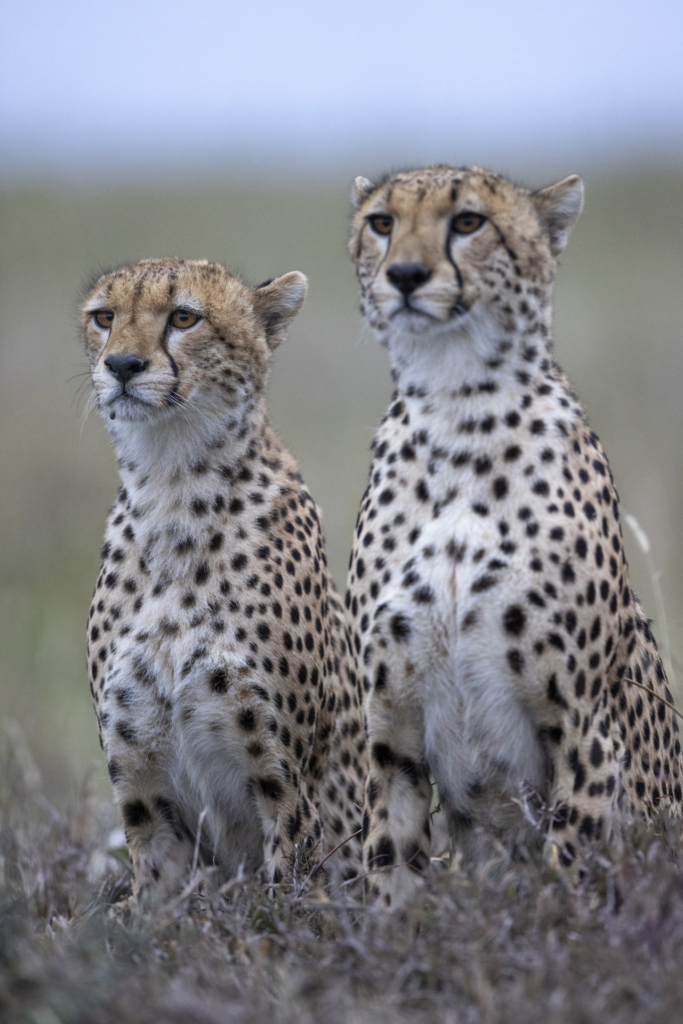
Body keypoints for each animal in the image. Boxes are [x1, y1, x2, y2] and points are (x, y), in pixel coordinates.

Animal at [83, 260, 368, 901]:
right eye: (104, 317)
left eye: (184, 317)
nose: (122, 365)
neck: (171, 485)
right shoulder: (142, 789)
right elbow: (155, 898)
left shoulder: (285, 782)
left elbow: (287, 896)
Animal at [348, 163, 683, 909]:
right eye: (382, 222)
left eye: (468, 222)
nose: (405, 274)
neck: (454, 409)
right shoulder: (391, 726)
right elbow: (390, 866)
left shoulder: (584, 729)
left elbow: (570, 873)